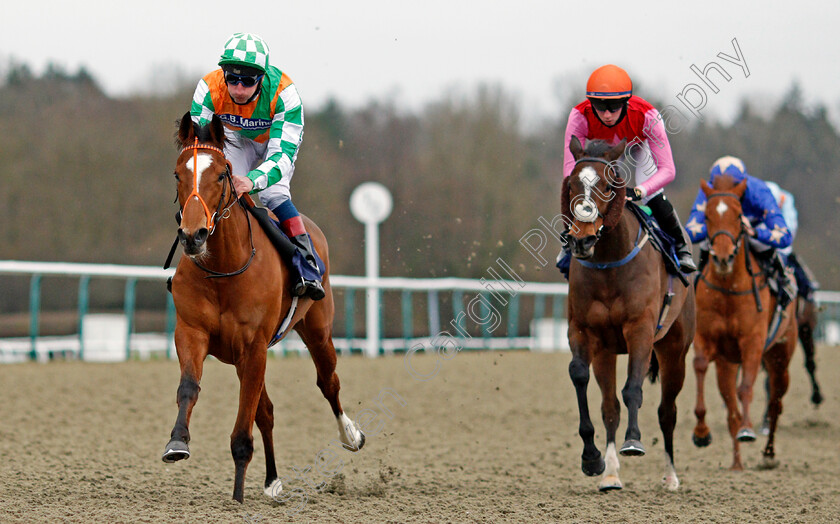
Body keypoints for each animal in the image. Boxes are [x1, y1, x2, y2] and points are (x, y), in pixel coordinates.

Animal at [161, 112, 364, 502]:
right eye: (178, 174)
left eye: (221, 174)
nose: (193, 236)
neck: (223, 269)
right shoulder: (192, 333)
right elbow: (189, 388)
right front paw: (177, 442)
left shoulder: (253, 346)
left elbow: (244, 424)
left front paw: (238, 498)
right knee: (266, 411)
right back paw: (272, 480)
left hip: (317, 331)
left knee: (328, 383)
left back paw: (350, 434)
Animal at [564, 136, 696, 492]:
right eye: (571, 185)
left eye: (609, 186)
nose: (582, 239)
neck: (609, 262)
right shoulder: (583, 331)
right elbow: (580, 377)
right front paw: (591, 458)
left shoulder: (640, 329)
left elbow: (633, 388)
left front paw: (634, 441)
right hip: (607, 352)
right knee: (609, 406)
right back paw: (610, 474)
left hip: (674, 349)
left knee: (667, 411)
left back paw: (671, 476)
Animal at [688, 175, 796, 470]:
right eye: (706, 215)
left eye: (738, 216)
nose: (723, 257)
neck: (728, 288)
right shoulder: (706, 339)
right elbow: (700, 366)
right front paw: (701, 432)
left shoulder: (752, 342)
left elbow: (746, 387)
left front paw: (749, 430)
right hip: (727, 363)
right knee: (731, 411)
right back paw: (737, 463)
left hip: (780, 356)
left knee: (775, 403)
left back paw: (768, 453)